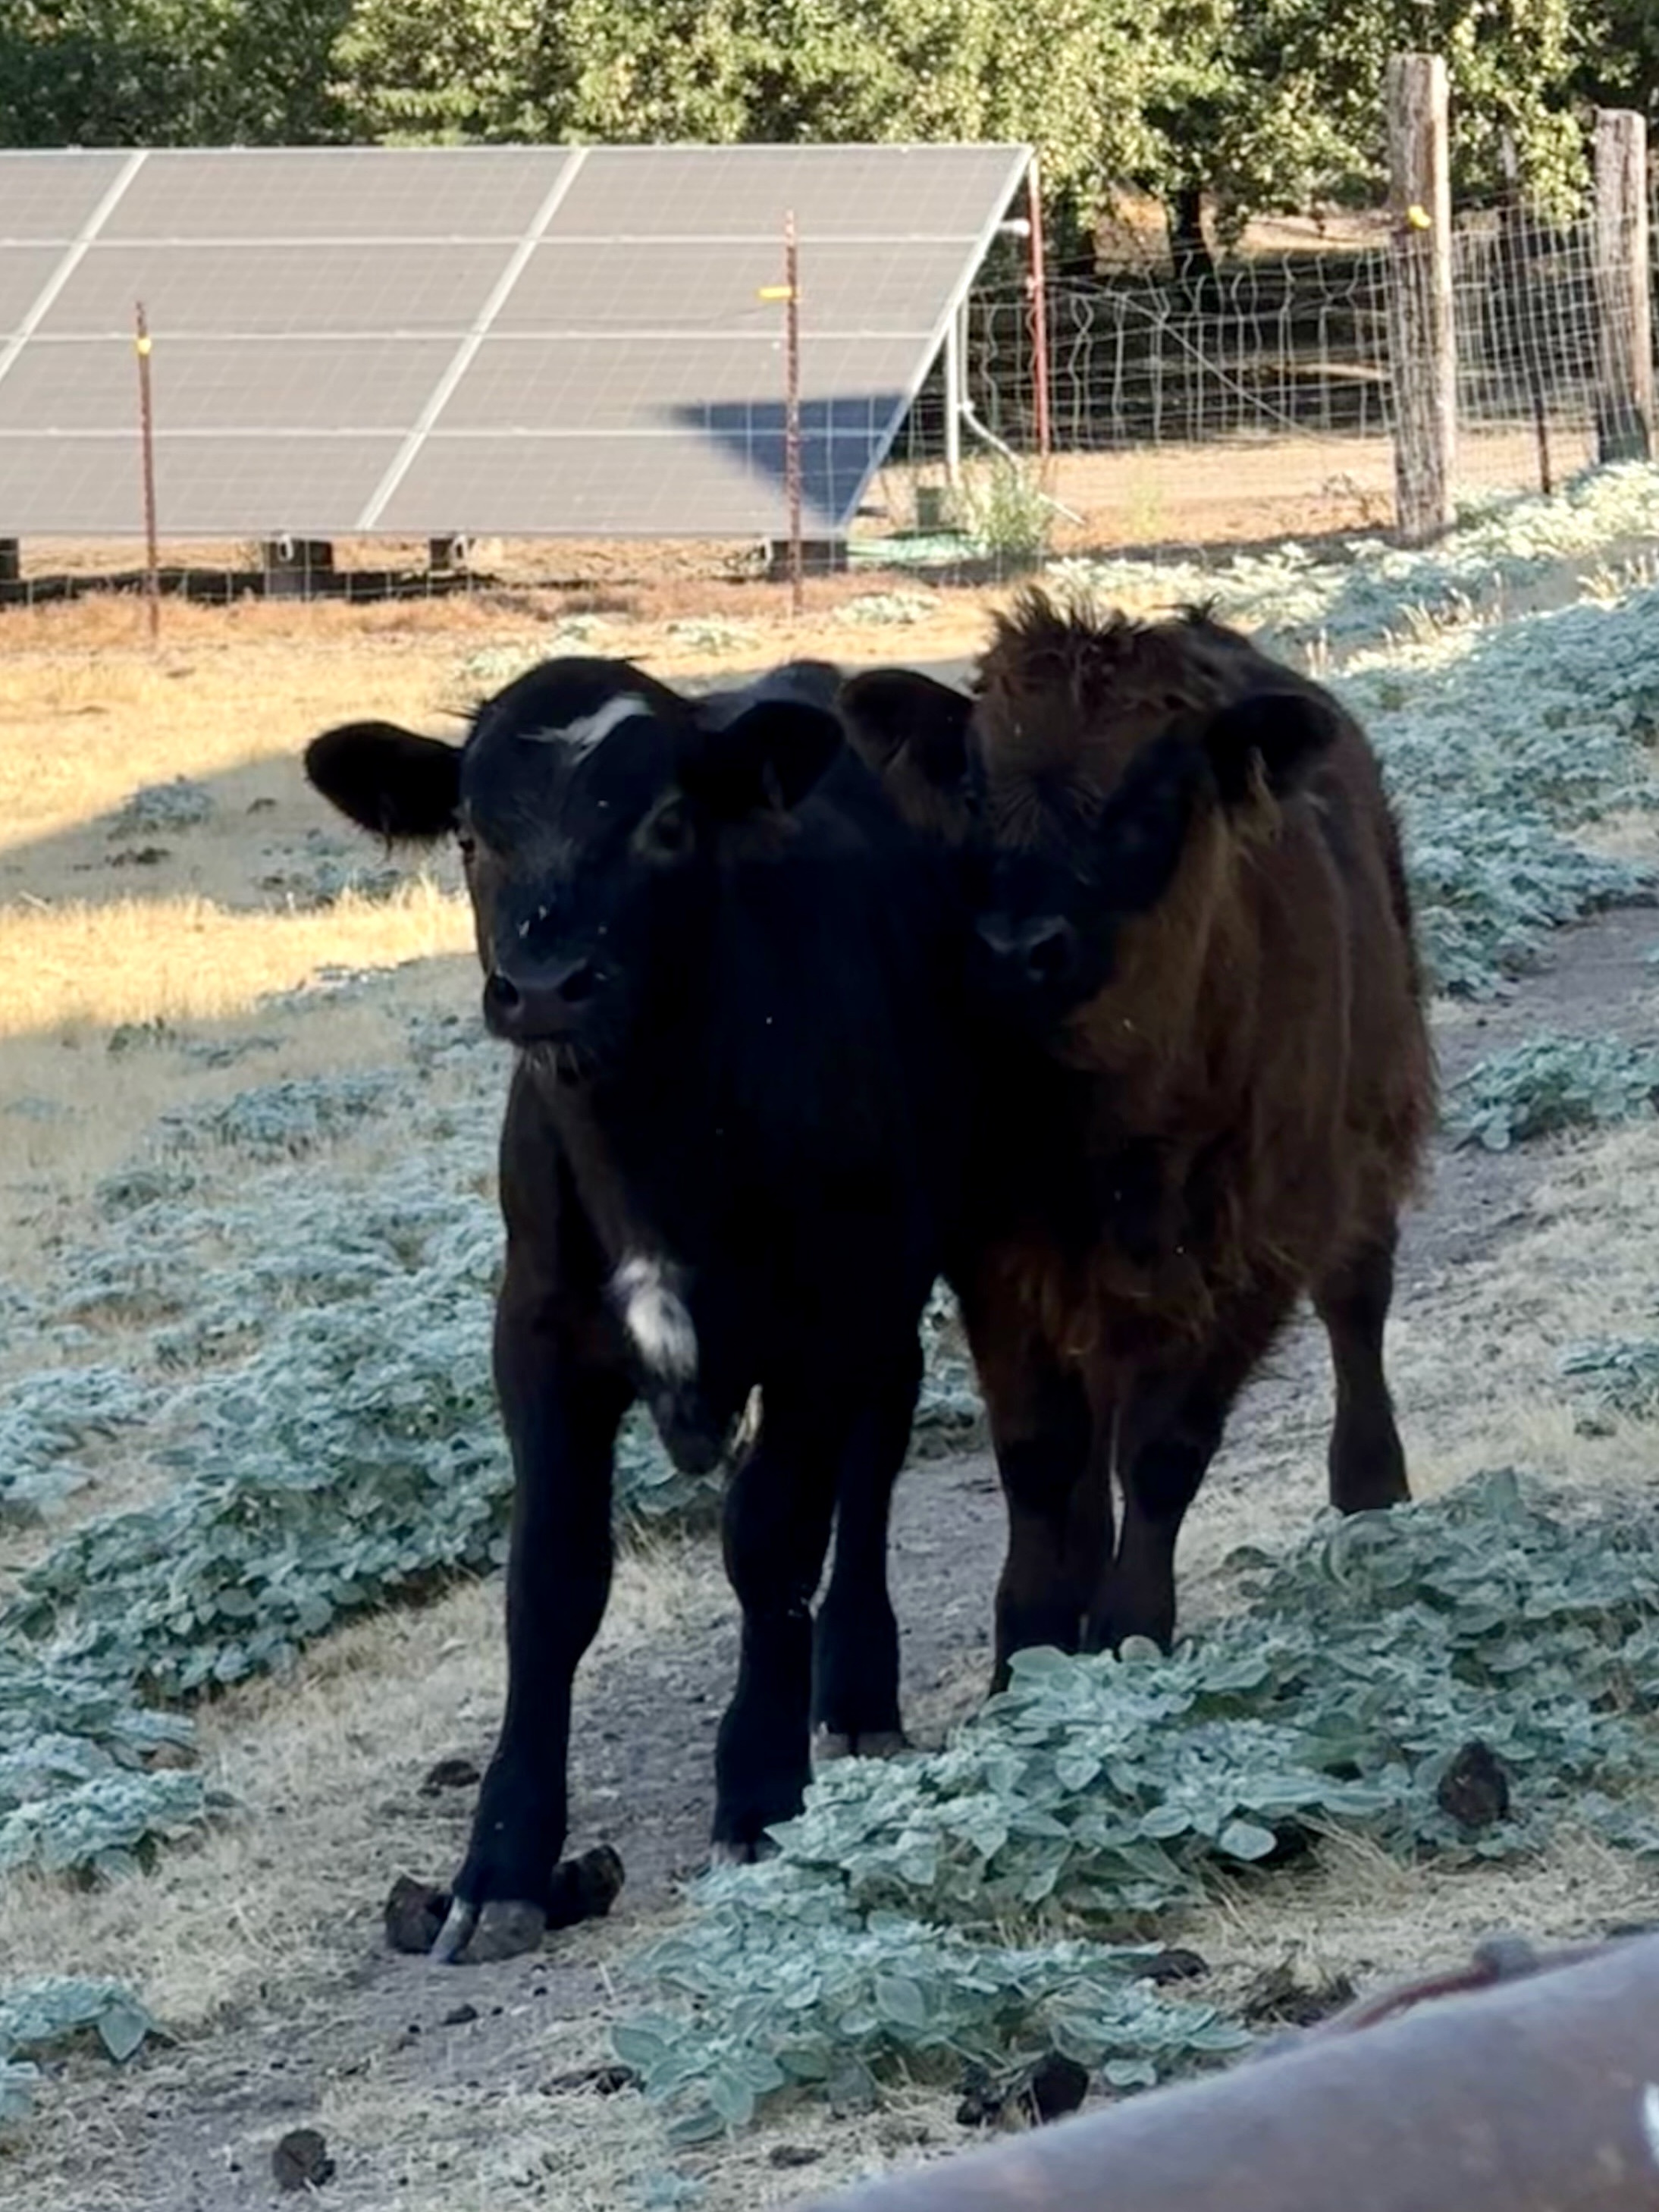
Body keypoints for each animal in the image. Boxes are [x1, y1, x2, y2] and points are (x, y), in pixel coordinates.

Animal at [845, 592, 1442, 1672]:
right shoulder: (994, 1248)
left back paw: (1371, 1488)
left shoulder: (1254, 1245)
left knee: (1356, 1297)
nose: (1013, 948)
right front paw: (1030, 1650)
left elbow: (1164, 1452)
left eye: (1154, 796)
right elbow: (1040, 1455)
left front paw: (1129, 1637)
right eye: (970, 784)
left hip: (1365, 1128)